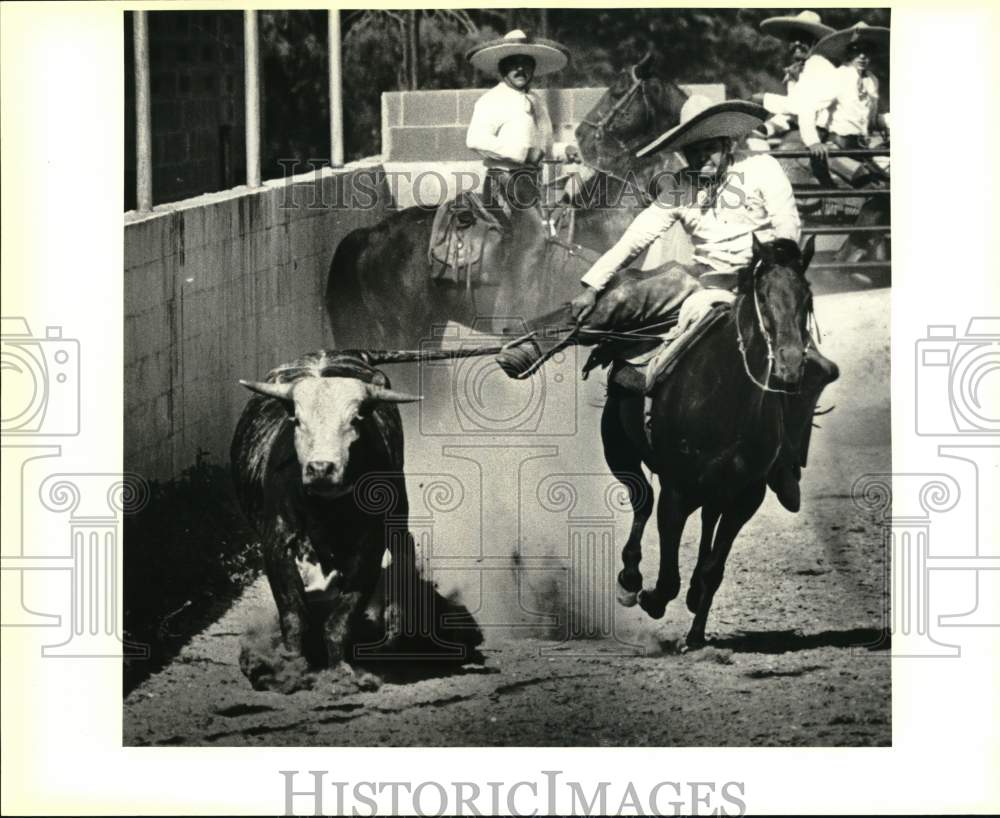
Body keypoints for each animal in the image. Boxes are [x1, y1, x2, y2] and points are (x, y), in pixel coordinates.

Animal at [600, 234, 836, 644]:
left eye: (807, 298)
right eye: (762, 296)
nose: (790, 366)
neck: (726, 397)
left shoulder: (747, 496)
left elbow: (714, 568)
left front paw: (695, 635)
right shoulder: (676, 490)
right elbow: (668, 575)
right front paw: (651, 598)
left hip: (717, 487)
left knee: (706, 519)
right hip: (617, 446)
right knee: (642, 500)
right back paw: (630, 581)